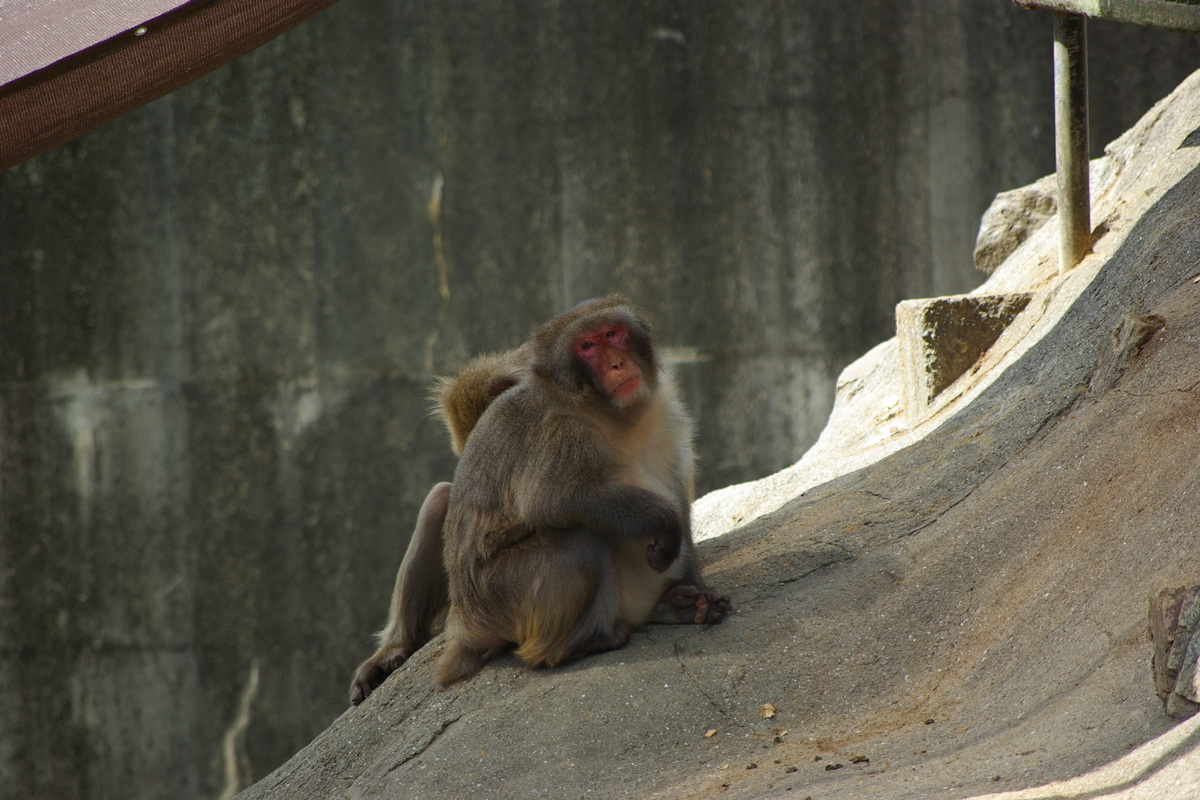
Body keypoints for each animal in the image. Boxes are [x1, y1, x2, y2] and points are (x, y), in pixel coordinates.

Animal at [350, 297, 724, 705]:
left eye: (613, 334)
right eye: (587, 346)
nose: (616, 363)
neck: (613, 416)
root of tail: (463, 628)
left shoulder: (667, 415)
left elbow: (678, 489)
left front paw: (688, 593)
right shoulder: (557, 432)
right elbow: (552, 500)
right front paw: (662, 522)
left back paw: (664, 607)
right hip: (500, 600)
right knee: (577, 538)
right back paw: (569, 647)